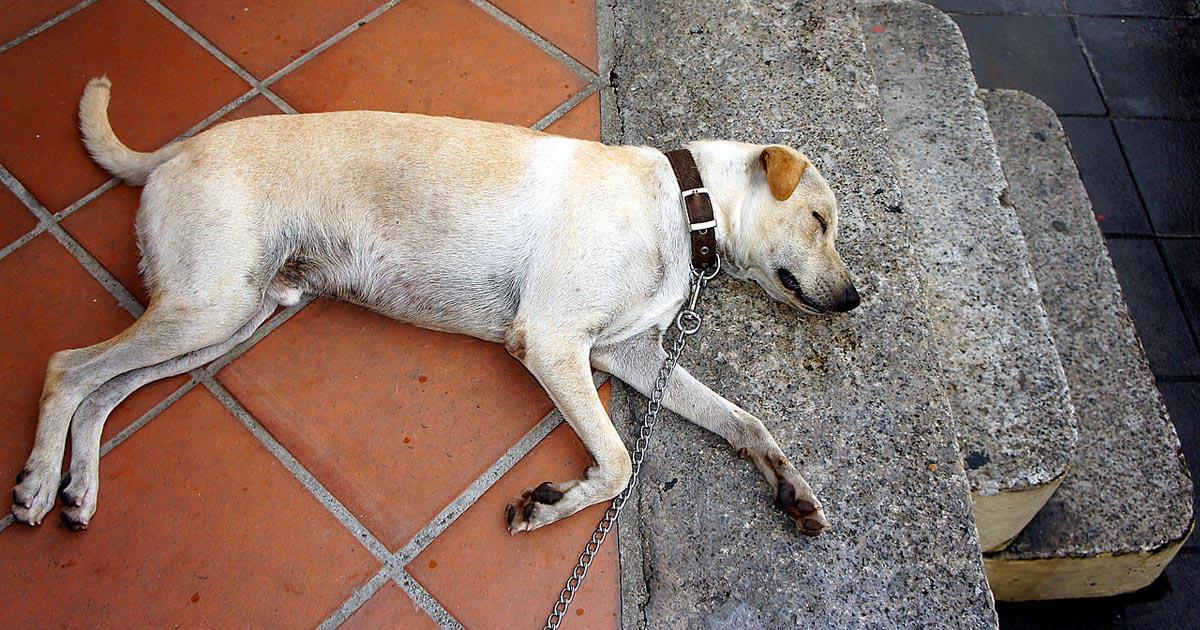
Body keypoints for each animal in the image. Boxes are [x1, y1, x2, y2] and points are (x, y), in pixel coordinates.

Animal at [9, 76, 854, 532]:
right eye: (819, 220)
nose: (853, 299)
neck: (682, 203)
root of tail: (179, 148)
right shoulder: (552, 342)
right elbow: (616, 463)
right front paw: (553, 502)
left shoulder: (628, 355)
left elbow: (745, 422)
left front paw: (792, 488)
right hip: (205, 307)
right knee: (67, 367)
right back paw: (38, 483)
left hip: (227, 316)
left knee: (103, 391)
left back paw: (77, 490)